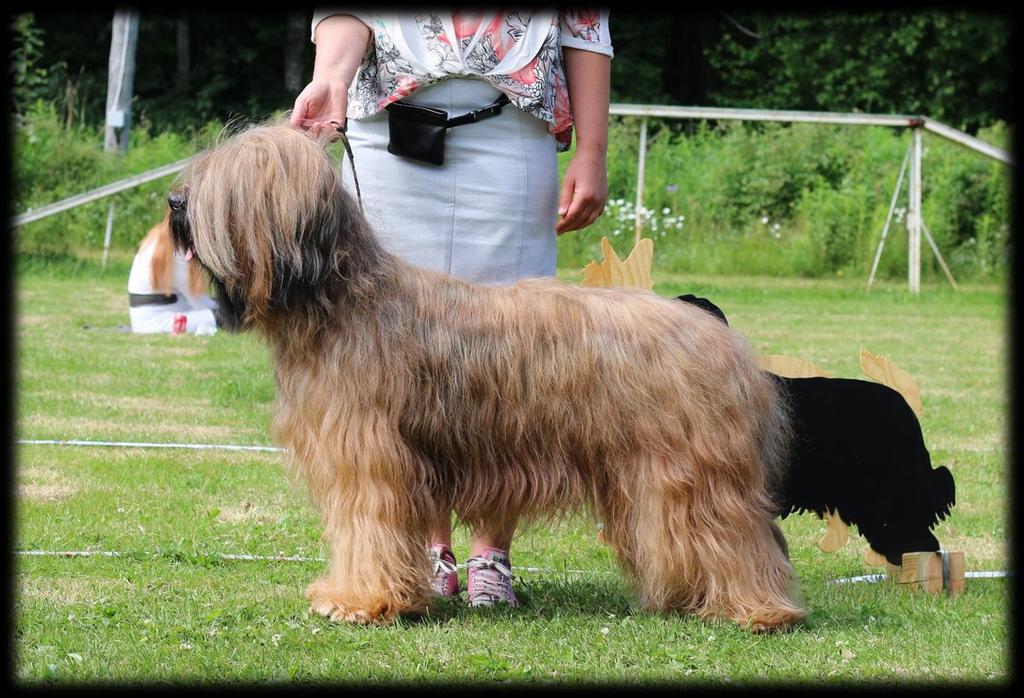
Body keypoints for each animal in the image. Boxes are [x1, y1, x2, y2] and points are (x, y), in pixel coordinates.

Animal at [167, 124, 802, 630]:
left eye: (228, 179)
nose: (173, 201)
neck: (339, 299)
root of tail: (722, 336)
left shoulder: (369, 460)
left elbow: (365, 527)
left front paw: (359, 600)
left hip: (693, 473)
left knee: (740, 537)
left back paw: (760, 610)